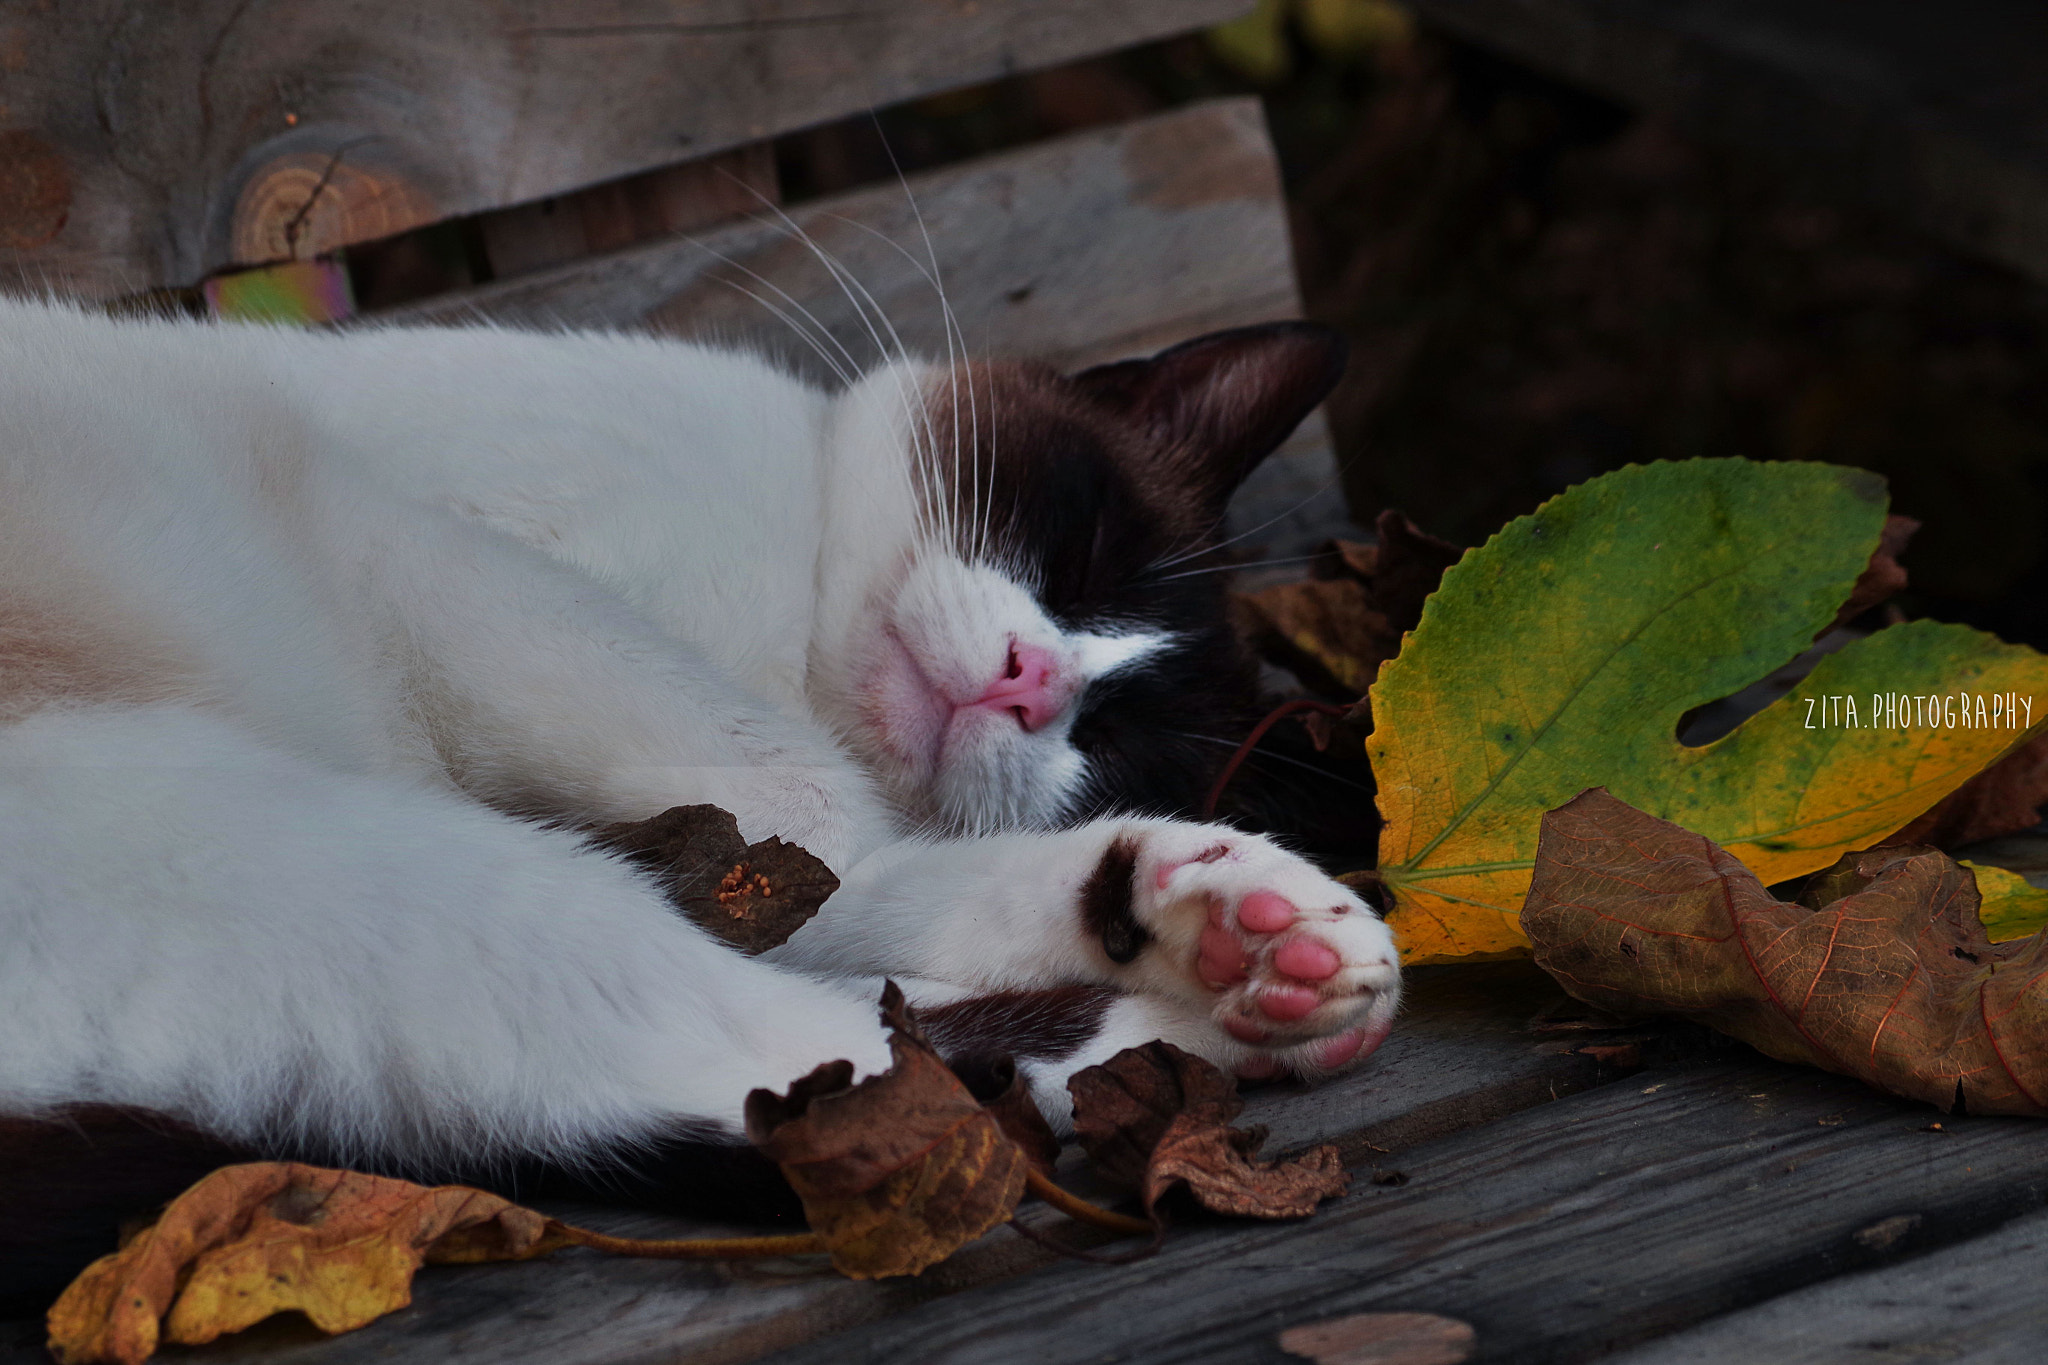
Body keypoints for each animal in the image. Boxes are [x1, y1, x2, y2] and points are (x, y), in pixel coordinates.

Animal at [0, 296, 1392, 1293]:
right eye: (1083, 554)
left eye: (1116, 740)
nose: (1029, 683)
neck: (784, 647)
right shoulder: (435, 554)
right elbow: (804, 825)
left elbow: (825, 866)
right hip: (345, 858)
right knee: (779, 1055)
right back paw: (1176, 1048)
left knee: (782, 1061)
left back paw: (1236, 970)